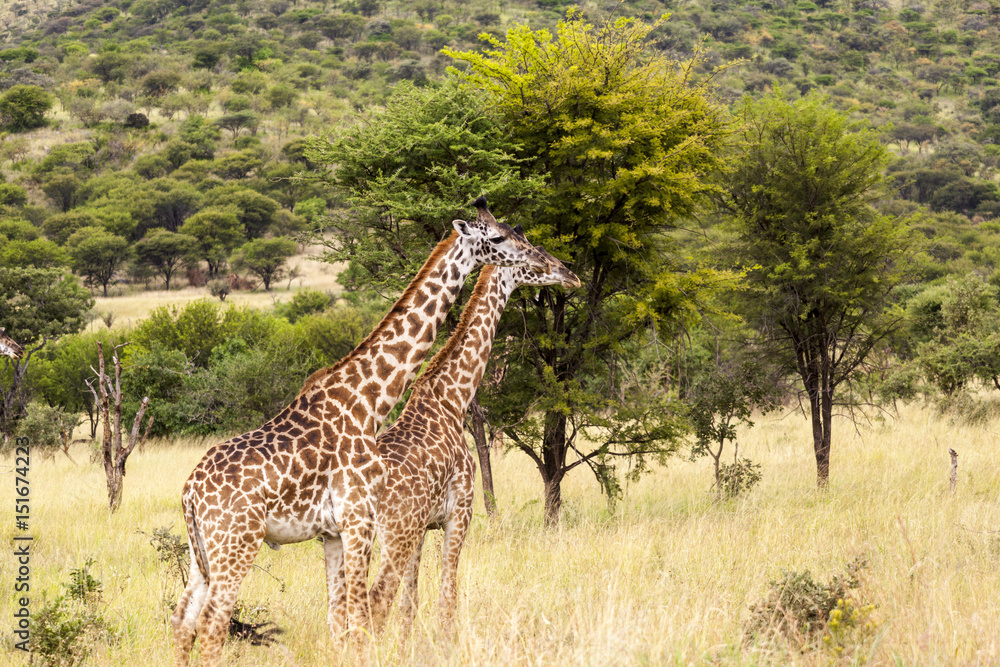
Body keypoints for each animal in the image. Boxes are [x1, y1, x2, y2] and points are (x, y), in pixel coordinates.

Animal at [170, 198, 557, 667]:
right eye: (498, 237)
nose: (548, 264)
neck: (369, 400)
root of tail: (190, 492)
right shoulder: (363, 519)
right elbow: (363, 618)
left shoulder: (336, 533)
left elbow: (342, 621)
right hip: (237, 545)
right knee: (213, 625)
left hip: (202, 553)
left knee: (182, 620)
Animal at [355, 252, 580, 638]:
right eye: (536, 257)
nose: (572, 276)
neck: (452, 399)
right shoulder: (459, 514)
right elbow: (447, 600)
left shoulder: (423, 528)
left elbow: (409, 607)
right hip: (395, 534)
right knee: (375, 603)